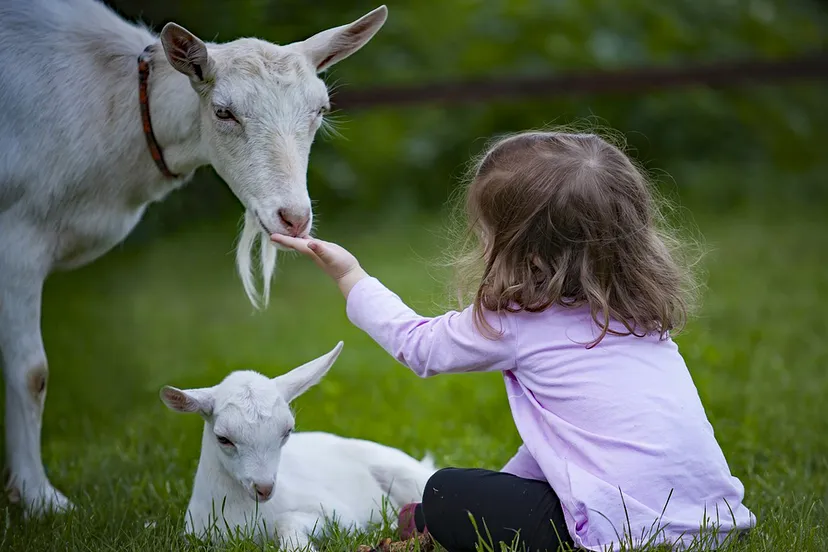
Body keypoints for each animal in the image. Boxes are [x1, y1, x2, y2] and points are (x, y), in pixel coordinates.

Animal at [0, 0, 387, 515]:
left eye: (320, 110)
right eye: (223, 112)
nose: (293, 218)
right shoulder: (18, 234)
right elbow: (32, 372)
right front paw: (40, 498)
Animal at [160, 342, 436, 551]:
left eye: (287, 431)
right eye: (223, 438)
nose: (264, 488)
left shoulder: (341, 515)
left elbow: (290, 519)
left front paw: (297, 546)